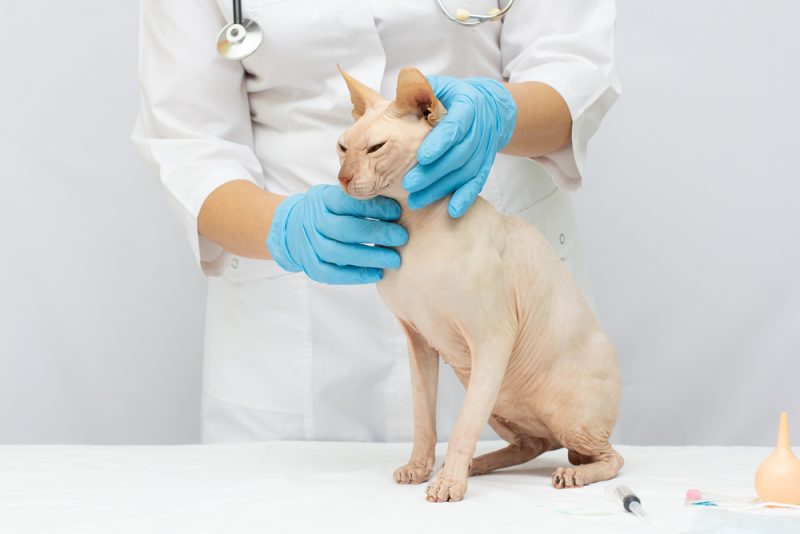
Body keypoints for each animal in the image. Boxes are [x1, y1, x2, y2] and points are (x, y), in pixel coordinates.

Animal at [334, 66, 620, 502]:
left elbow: (463, 425)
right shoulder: (418, 340)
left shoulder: (492, 337)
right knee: (532, 444)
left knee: (610, 457)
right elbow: (424, 418)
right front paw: (421, 468)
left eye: (375, 148)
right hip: (501, 400)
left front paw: (448, 485)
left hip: (557, 407)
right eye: (342, 147)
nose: (343, 178)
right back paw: (479, 464)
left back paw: (569, 474)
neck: (416, 228)